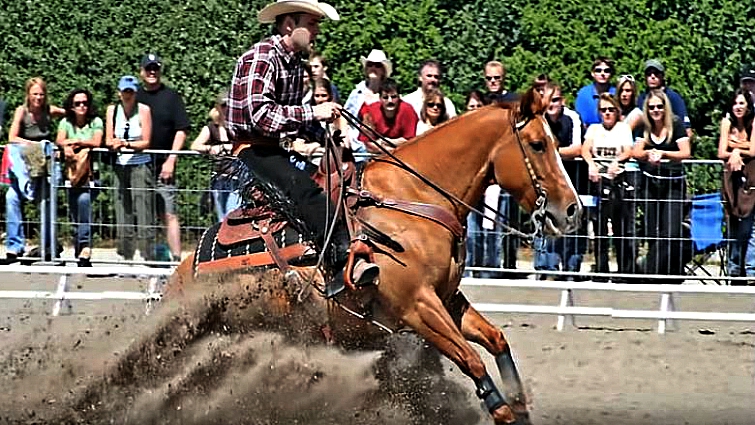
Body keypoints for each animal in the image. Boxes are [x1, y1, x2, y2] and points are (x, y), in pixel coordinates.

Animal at [168, 88, 582, 425]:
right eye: (537, 144)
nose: (571, 210)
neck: (413, 197)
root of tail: (180, 275)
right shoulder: (418, 307)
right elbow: (473, 360)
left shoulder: (448, 300)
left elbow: (495, 340)